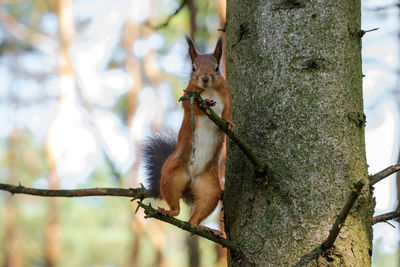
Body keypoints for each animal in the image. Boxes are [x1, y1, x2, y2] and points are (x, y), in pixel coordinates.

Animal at [141, 35, 233, 234]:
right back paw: (168, 211)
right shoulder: (188, 97)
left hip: (211, 190)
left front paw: (230, 124)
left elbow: (227, 113)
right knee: (176, 207)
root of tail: (189, 183)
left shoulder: (227, 97)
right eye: (193, 68)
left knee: (193, 220)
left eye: (217, 67)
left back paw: (204, 227)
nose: (205, 78)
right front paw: (206, 102)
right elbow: (194, 108)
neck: (210, 90)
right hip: (170, 176)